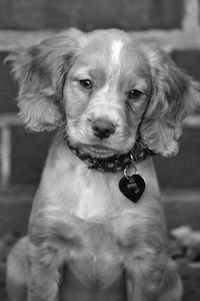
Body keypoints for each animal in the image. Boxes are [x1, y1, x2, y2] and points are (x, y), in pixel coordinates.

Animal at [5, 28, 199, 300]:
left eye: (135, 93)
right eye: (86, 83)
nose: (103, 127)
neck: (98, 170)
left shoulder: (147, 257)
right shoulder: (45, 249)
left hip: (170, 270)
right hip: (18, 253)